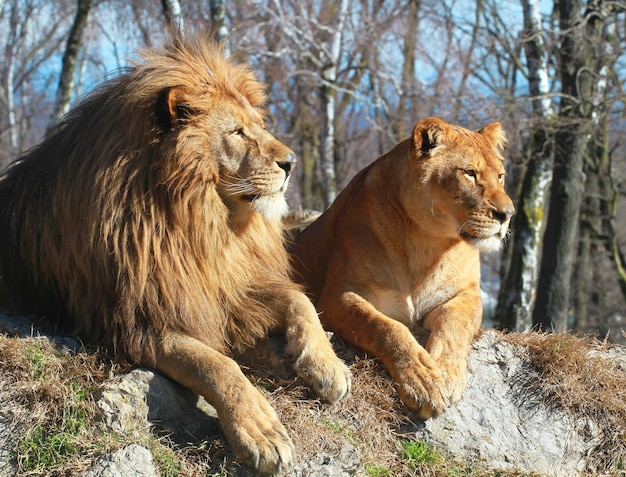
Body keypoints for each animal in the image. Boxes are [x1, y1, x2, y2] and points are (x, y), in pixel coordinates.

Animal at [0, 32, 352, 472]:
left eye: (258, 126)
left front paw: (327, 366)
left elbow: (299, 300)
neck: (201, 222)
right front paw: (260, 430)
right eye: (238, 132)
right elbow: (217, 364)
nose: (291, 162)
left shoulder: (228, 286)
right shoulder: (137, 323)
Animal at [290, 117, 510, 418]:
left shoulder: (466, 294)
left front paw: (447, 374)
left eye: (500, 176)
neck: (428, 242)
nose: (508, 214)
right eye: (469, 173)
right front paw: (423, 380)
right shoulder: (337, 296)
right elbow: (385, 326)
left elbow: (455, 325)